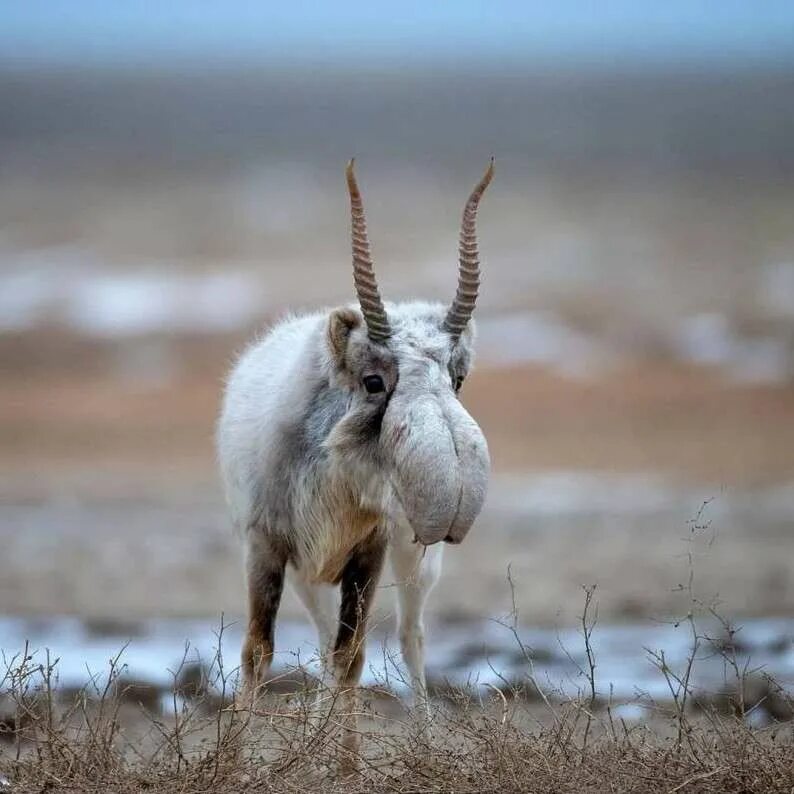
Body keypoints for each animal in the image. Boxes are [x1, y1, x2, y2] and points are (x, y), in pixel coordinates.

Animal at [213, 159, 492, 732]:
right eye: (373, 381)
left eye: (456, 379)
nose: (450, 493)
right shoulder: (265, 547)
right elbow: (258, 651)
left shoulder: (370, 552)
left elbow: (353, 657)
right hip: (310, 576)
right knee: (324, 643)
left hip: (414, 560)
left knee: (410, 637)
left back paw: (424, 735)